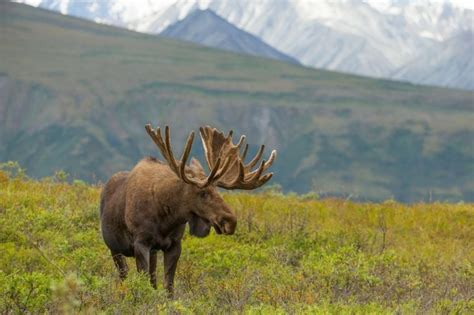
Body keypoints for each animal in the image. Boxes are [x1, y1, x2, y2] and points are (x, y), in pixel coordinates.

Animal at [100, 124, 278, 296]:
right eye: (203, 192)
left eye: (217, 190)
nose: (231, 221)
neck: (166, 218)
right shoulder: (141, 242)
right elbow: (143, 283)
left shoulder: (174, 245)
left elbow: (168, 286)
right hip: (115, 249)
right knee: (124, 276)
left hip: (152, 253)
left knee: (152, 278)